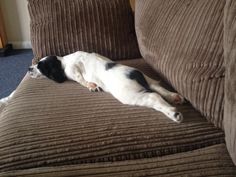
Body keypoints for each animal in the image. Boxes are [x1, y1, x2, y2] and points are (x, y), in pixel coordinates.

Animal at [0, 51, 184, 123]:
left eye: (40, 67)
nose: (28, 68)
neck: (63, 61)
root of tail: (135, 74)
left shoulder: (73, 70)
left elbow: (80, 79)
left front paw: (91, 85)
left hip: (132, 94)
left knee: (153, 96)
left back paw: (173, 113)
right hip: (148, 80)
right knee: (159, 88)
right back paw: (175, 97)